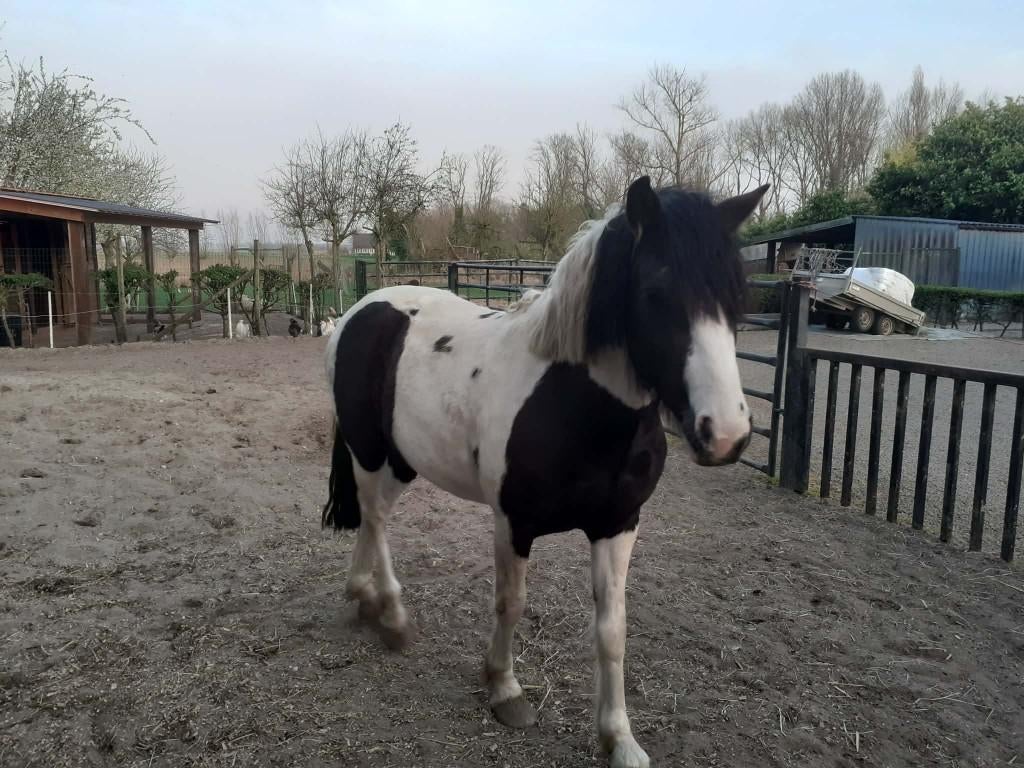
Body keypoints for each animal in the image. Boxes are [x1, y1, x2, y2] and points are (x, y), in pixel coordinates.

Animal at [321, 177, 767, 768]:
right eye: (656, 291)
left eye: (738, 296)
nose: (727, 434)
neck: (574, 404)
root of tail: (361, 310)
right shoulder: (514, 522)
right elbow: (510, 604)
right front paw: (504, 689)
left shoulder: (618, 524)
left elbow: (612, 629)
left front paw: (619, 738)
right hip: (369, 451)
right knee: (374, 517)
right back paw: (391, 615)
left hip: (401, 460)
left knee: (375, 520)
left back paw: (363, 596)